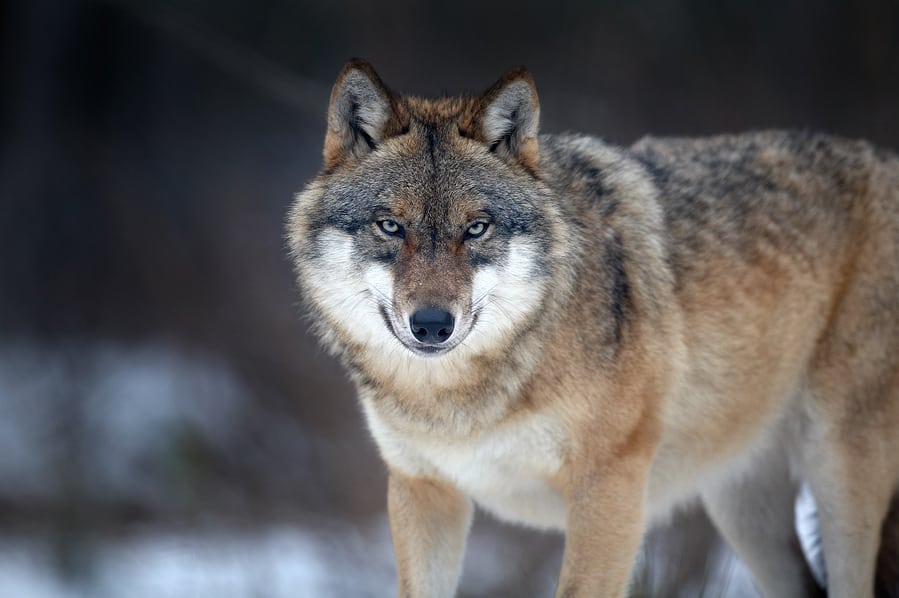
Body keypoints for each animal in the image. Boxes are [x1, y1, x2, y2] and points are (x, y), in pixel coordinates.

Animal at [287, 59, 899, 597]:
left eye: (477, 228)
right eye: (390, 226)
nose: (433, 325)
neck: (461, 402)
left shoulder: (609, 486)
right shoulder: (423, 491)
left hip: (836, 471)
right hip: (741, 508)